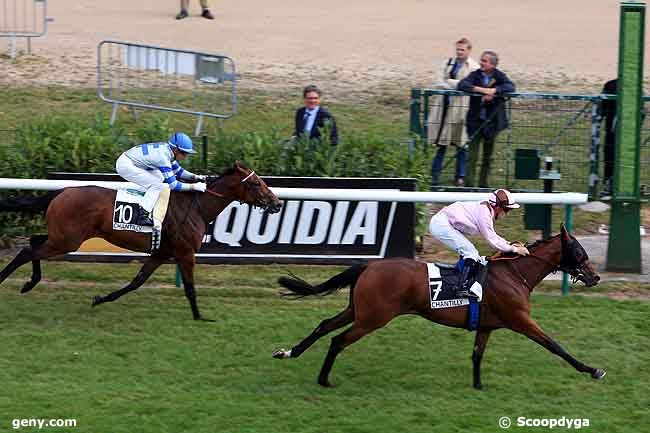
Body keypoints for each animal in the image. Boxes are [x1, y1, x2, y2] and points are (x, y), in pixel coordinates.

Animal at [0, 160, 280, 318]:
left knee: (34, 241)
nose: (276, 203)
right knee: (26, 252)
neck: (197, 207)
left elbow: (138, 281)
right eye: (256, 183)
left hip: (61, 236)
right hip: (67, 240)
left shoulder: (162, 252)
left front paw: (101, 299)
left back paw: (30, 282)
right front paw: (200, 316)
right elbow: (190, 288)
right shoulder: (185, 252)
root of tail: (61, 192)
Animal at [272, 224, 604, 386]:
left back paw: (288, 352)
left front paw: (479, 387)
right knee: (338, 340)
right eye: (578, 251)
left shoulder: (487, 326)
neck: (514, 274)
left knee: (324, 326)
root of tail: (368, 265)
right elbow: (554, 345)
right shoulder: (520, 320)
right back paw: (324, 379)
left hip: (359, 310)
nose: (595, 276)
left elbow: (477, 355)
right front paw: (593, 370)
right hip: (373, 318)